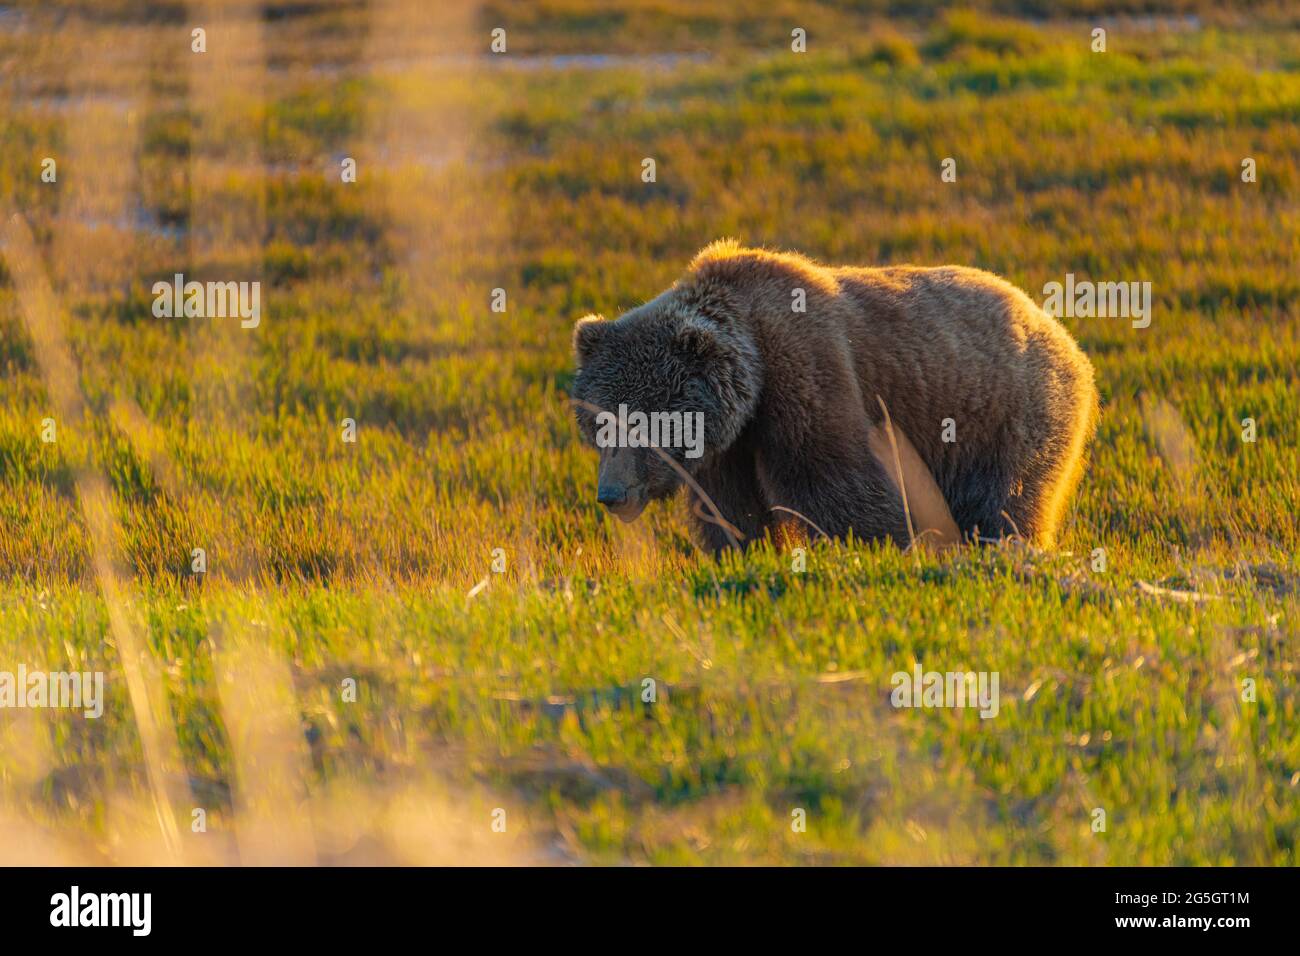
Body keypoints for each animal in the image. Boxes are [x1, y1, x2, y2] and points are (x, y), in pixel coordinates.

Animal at [569, 240, 1097, 554]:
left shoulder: (807, 374)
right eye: (601, 424)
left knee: (1006, 499)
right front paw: (744, 550)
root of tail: (1054, 325)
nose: (611, 494)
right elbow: (731, 509)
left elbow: (836, 482)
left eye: (647, 424)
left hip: (1007, 413)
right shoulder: (728, 446)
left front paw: (883, 545)